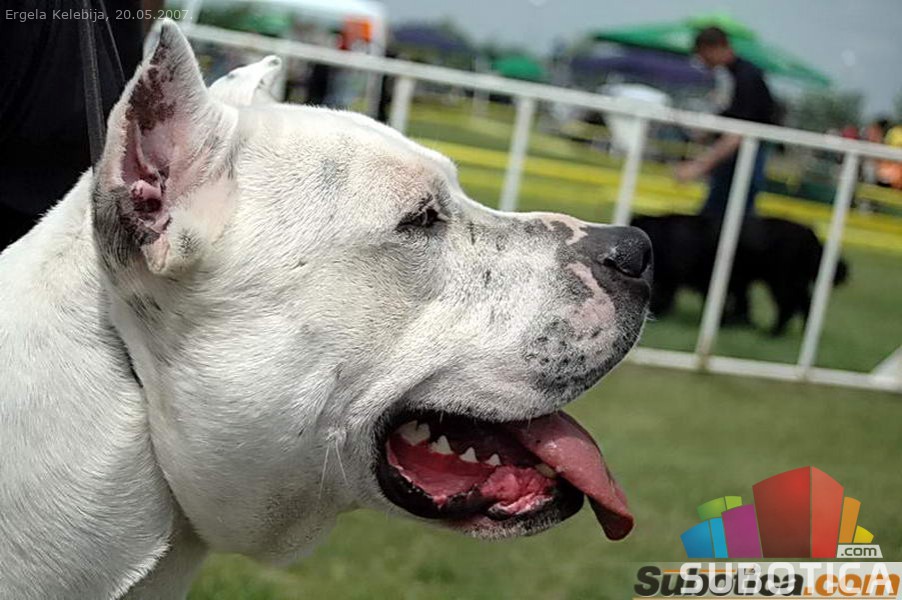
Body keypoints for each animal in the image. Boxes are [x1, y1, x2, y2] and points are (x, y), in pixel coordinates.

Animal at [632, 213, 847, 336]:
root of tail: (811, 235)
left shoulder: (691, 278)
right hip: (794, 282)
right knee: (805, 304)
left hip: (782, 281)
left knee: (788, 306)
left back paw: (773, 333)